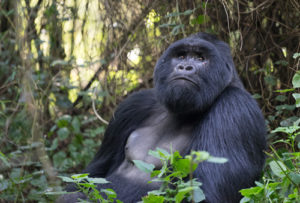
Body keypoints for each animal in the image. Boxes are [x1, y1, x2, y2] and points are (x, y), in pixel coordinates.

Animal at [59, 32, 266, 202]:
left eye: (201, 58)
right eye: (181, 56)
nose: (185, 66)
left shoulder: (235, 107)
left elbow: (208, 195)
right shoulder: (134, 105)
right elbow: (90, 174)